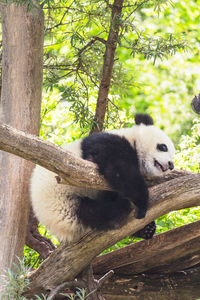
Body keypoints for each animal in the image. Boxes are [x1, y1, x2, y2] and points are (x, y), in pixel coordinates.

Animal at [30, 113, 175, 243]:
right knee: (104, 214)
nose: (171, 165)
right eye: (163, 147)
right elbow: (119, 170)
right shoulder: (108, 143)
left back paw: (147, 229)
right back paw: (124, 206)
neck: (132, 138)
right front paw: (142, 204)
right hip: (63, 204)